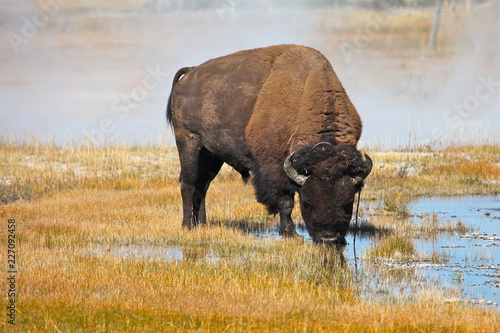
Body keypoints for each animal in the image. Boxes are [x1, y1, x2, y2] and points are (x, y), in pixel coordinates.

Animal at [167, 44, 372, 246]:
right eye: (307, 202)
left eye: (348, 202)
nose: (328, 239)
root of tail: (190, 73)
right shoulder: (275, 167)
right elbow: (285, 202)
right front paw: (291, 234)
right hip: (189, 142)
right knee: (189, 183)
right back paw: (188, 225)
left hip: (211, 155)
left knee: (203, 185)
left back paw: (202, 224)